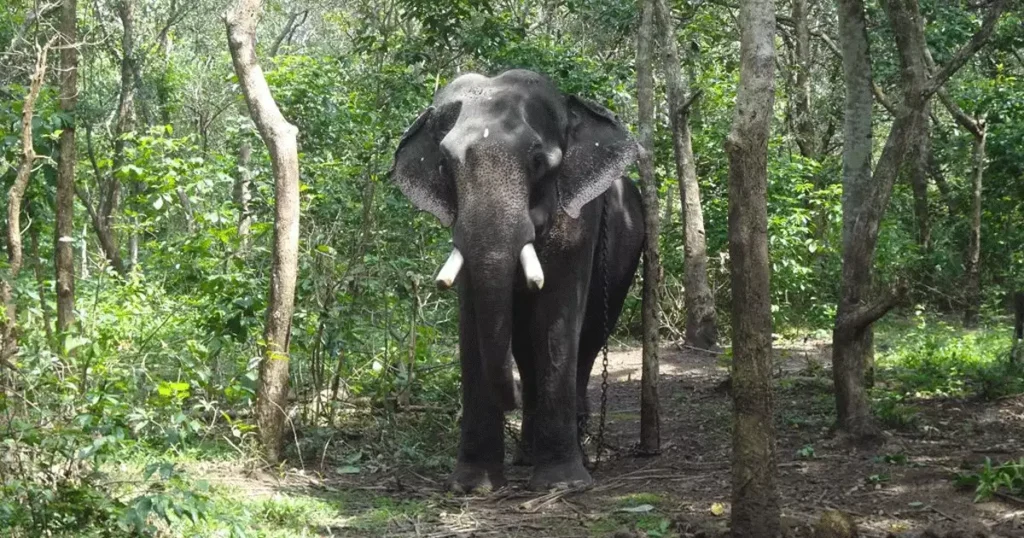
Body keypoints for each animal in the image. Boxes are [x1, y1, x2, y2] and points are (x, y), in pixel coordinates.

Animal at [387, 69, 643, 493]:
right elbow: (474, 319)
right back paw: (526, 455)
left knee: (588, 339)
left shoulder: (578, 224)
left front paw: (561, 484)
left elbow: (556, 320)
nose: (512, 400)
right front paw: (471, 486)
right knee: (524, 346)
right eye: (444, 164)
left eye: (538, 161)